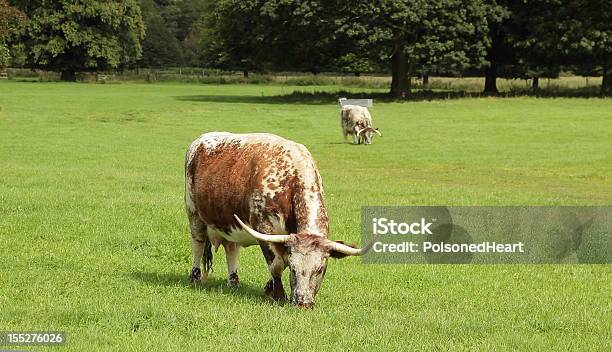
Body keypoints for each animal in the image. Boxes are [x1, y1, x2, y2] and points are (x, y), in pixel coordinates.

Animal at [183, 132, 372, 308]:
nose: (303, 303)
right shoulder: (264, 231)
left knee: (232, 249)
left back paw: (233, 282)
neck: (289, 179)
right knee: (198, 244)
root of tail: (200, 139)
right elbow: (277, 264)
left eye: (320, 269)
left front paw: (269, 288)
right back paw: (195, 277)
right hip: (194, 214)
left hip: (229, 224)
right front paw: (279, 294)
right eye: (294, 270)